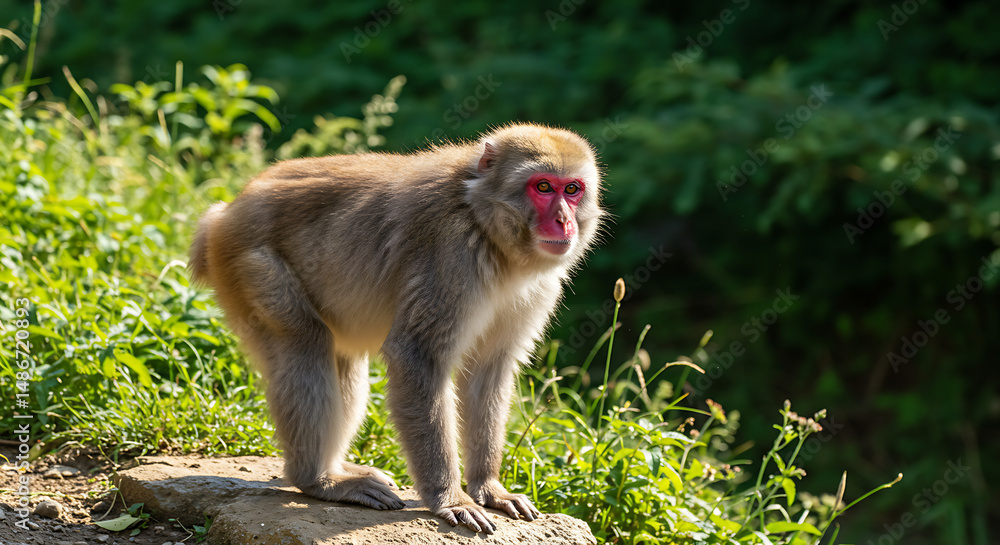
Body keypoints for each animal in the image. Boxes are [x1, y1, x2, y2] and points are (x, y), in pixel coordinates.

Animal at [189, 123, 603, 533]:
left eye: (572, 189)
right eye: (543, 186)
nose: (564, 221)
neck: (486, 226)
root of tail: (224, 214)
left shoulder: (536, 287)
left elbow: (489, 370)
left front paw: (488, 487)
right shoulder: (451, 254)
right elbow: (416, 356)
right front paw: (449, 498)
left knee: (342, 359)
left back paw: (337, 469)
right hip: (250, 265)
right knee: (305, 344)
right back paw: (319, 480)